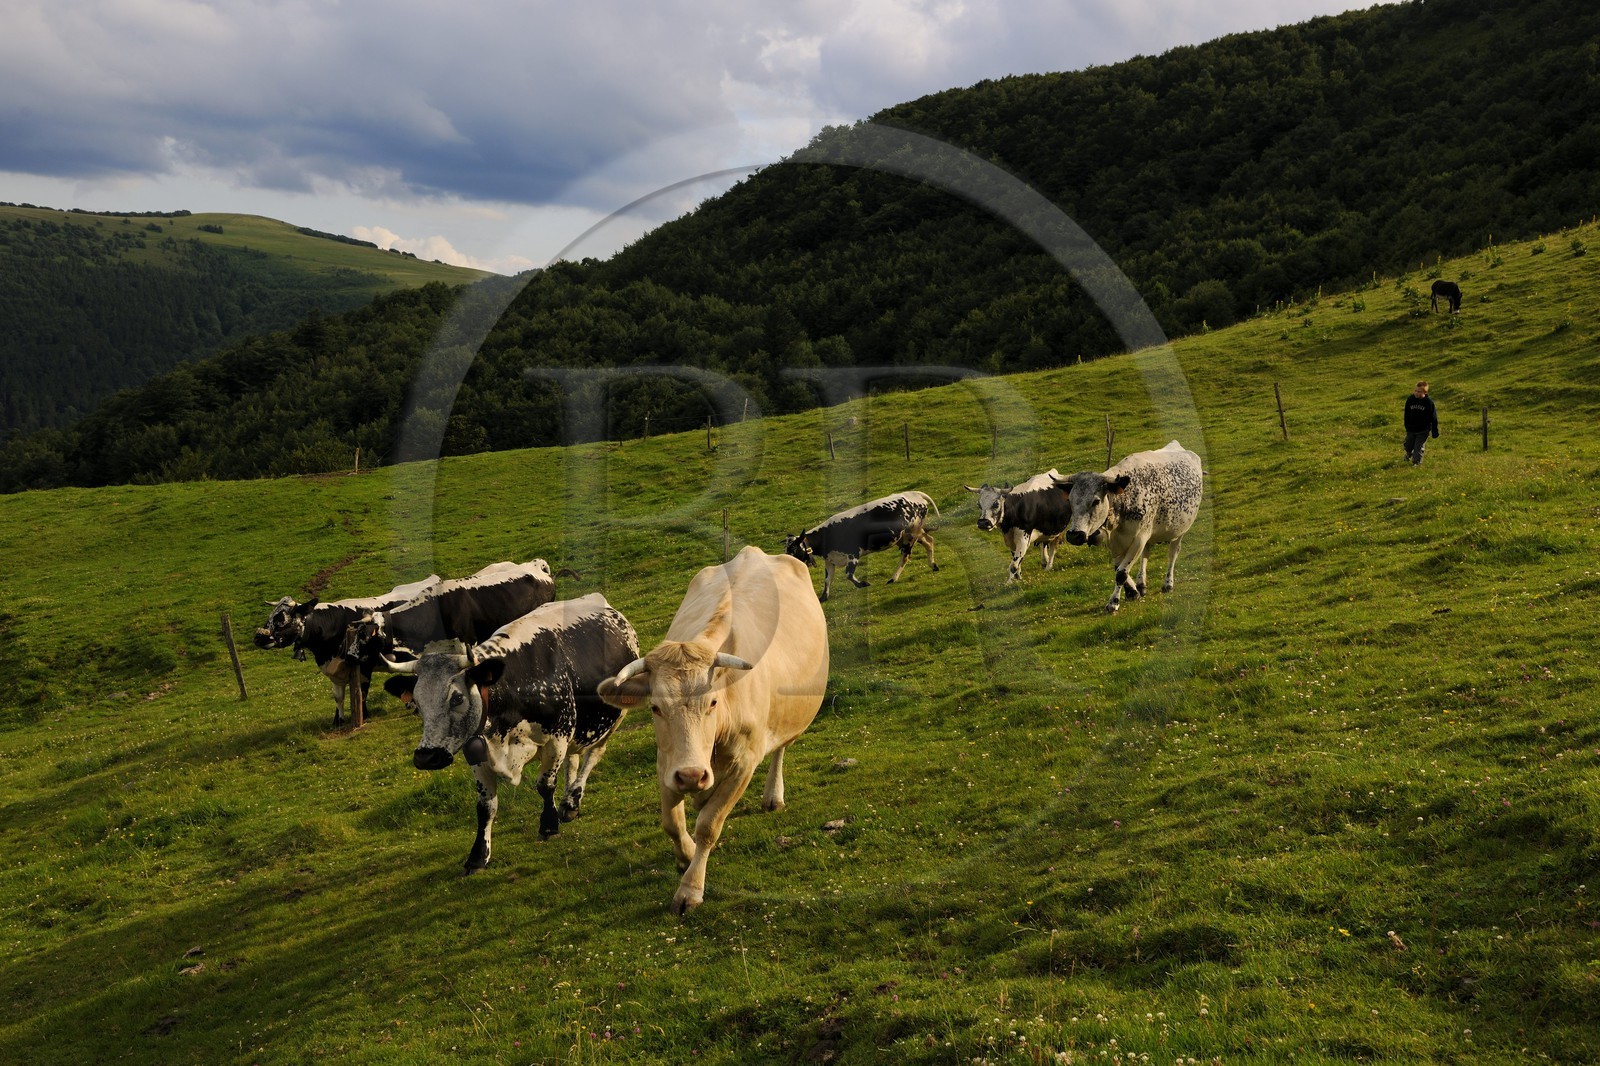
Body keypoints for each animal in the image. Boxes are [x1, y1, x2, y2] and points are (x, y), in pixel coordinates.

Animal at [254, 574, 439, 725]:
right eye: (270, 615)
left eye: (281, 618)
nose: (258, 637)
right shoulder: (333, 669)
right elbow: (338, 696)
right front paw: (338, 720)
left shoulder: (364, 665)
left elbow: (361, 692)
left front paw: (364, 716)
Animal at [381, 594, 640, 873]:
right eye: (416, 703)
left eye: (457, 697)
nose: (426, 757)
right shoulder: (477, 752)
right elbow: (486, 806)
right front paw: (478, 855)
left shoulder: (557, 737)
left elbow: (545, 785)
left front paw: (548, 826)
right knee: (573, 760)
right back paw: (568, 804)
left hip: (612, 720)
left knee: (593, 756)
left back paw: (572, 800)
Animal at [597, 546, 829, 915]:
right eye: (655, 707)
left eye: (713, 702)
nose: (692, 775)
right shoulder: (667, 763)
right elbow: (672, 822)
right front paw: (685, 856)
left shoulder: (744, 764)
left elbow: (709, 824)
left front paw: (690, 889)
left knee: (780, 748)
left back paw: (773, 795)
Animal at [783, 490, 939, 601]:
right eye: (785, 549)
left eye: (793, 549)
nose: (787, 563)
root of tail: (914, 494)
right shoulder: (830, 560)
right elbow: (827, 580)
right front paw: (823, 597)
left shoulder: (853, 554)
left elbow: (849, 575)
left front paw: (863, 584)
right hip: (911, 534)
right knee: (929, 540)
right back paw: (933, 565)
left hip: (911, 535)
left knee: (906, 556)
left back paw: (893, 578)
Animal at [1052, 441, 1203, 613]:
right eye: (1070, 500)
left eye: (1096, 501)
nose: (1074, 535)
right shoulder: (1116, 542)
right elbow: (1118, 567)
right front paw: (1132, 592)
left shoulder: (1139, 538)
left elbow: (1121, 573)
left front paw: (1114, 602)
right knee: (1146, 554)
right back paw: (1141, 584)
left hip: (1179, 531)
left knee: (1173, 554)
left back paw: (1168, 584)